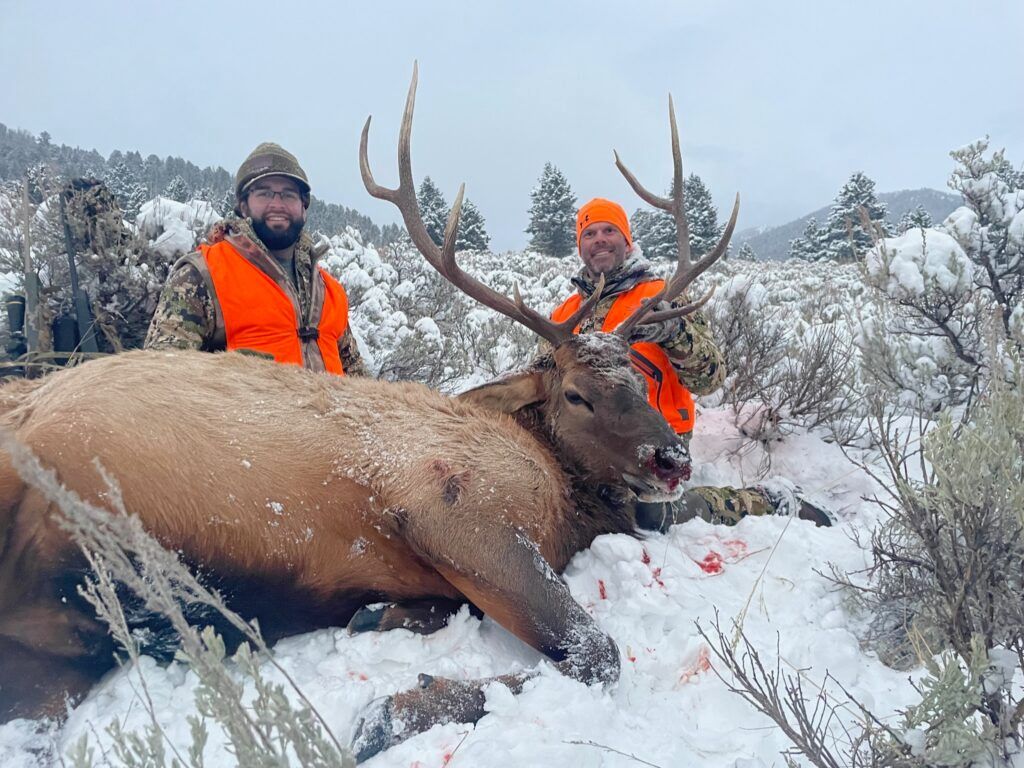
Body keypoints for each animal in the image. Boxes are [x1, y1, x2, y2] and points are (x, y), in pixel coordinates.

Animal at [0, 65, 737, 761]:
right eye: (577, 394)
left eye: (643, 376)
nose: (672, 459)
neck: (563, 495)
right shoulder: (457, 508)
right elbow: (595, 653)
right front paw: (390, 712)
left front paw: (380, 617)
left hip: (54, 646)